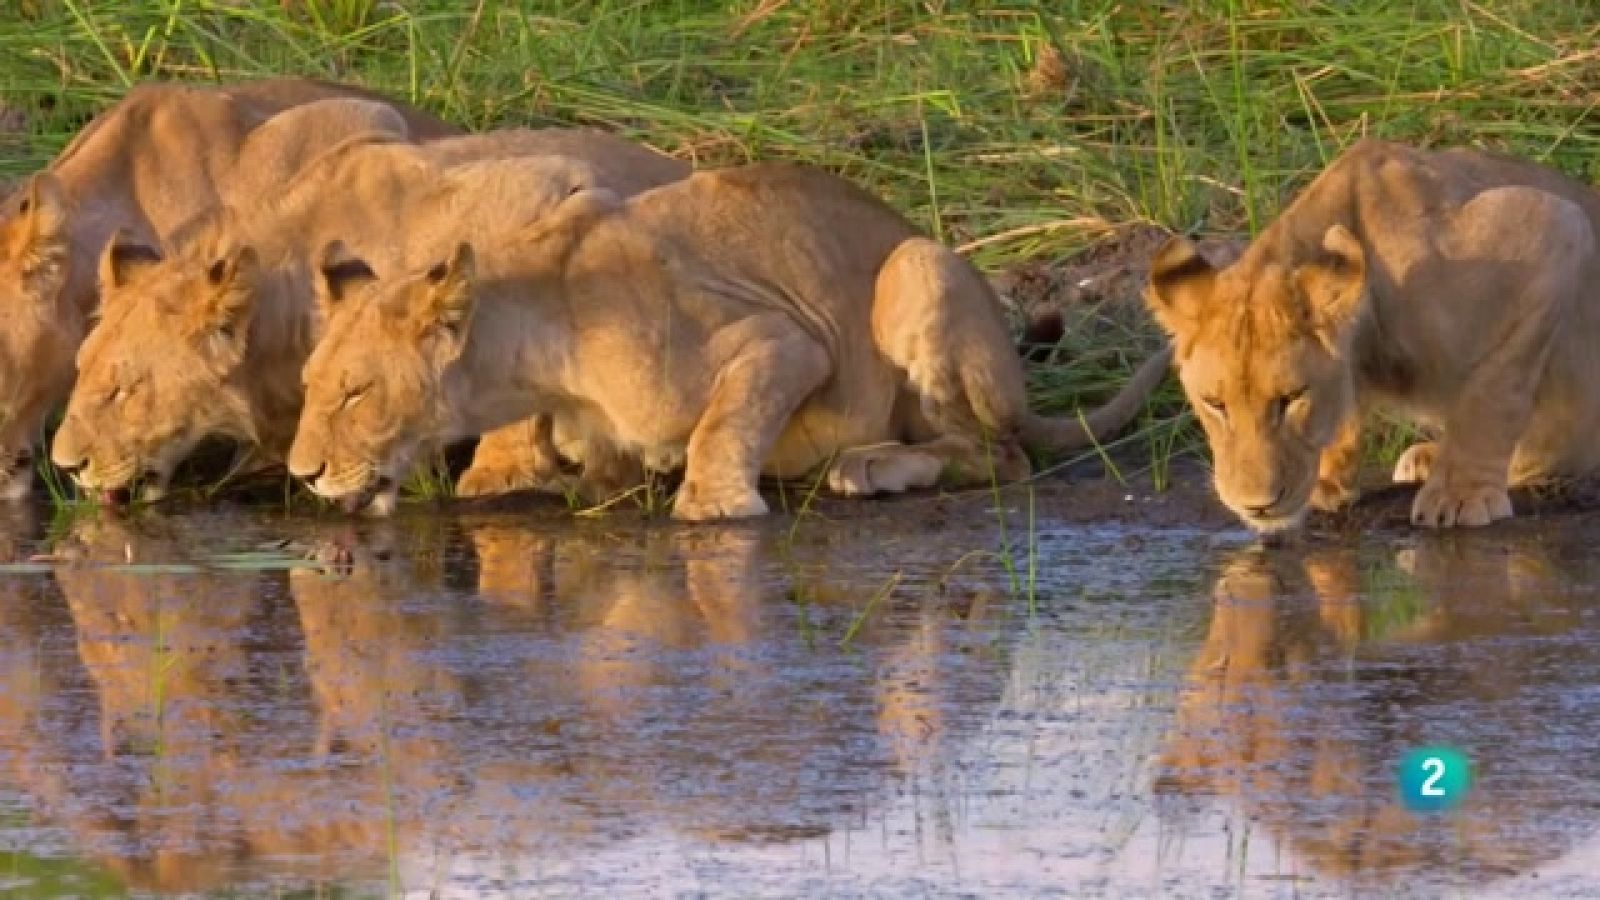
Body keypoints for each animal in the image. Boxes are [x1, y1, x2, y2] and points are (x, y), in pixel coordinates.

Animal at [288, 160, 1171, 518]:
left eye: (357, 392)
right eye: (309, 388)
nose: (302, 474)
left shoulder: (785, 340)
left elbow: (725, 424)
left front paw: (713, 505)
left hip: (917, 268)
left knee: (1000, 453)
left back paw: (870, 467)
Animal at [1145, 137, 1600, 528]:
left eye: (1291, 398)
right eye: (1214, 404)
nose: (1256, 506)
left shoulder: (1553, 226)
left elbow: (1492, 393)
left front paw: (1461, 493)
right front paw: (1327, 481)